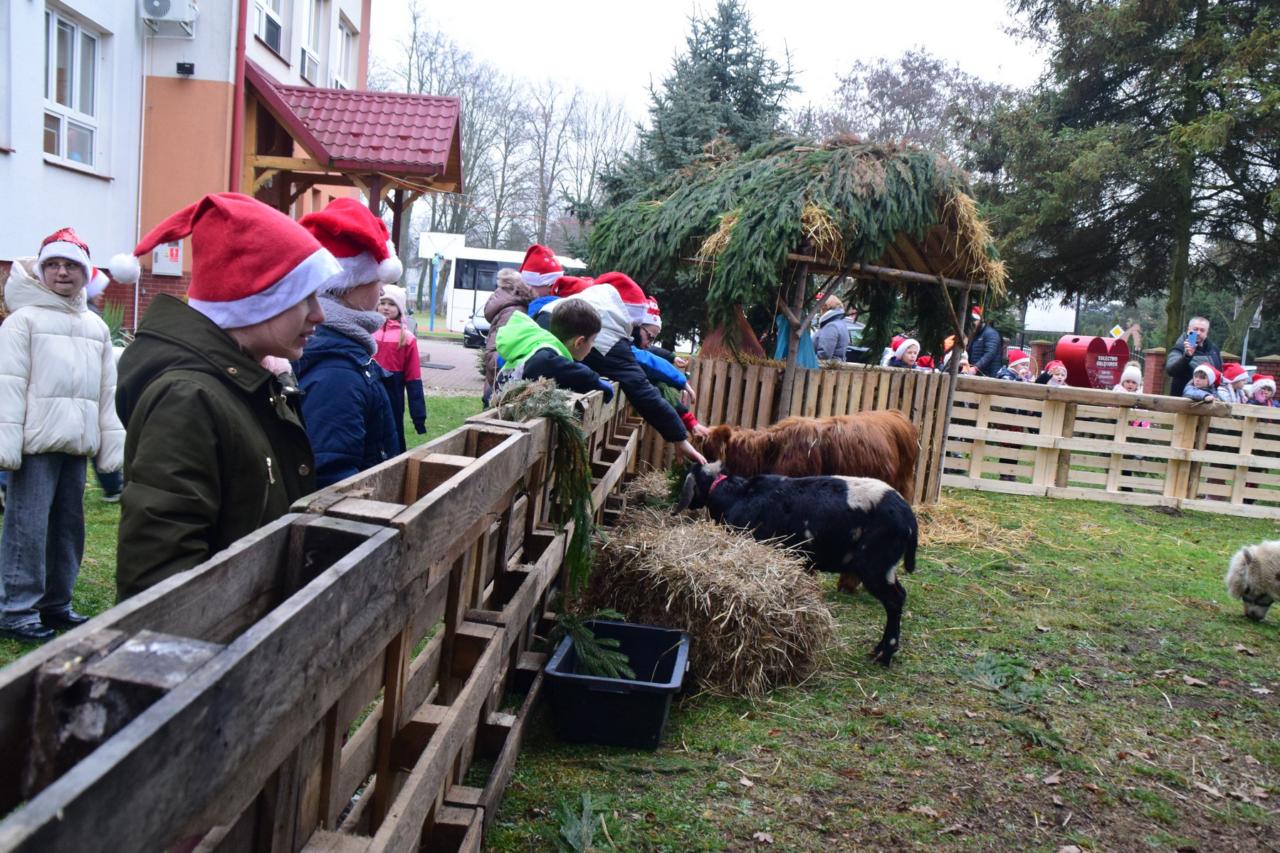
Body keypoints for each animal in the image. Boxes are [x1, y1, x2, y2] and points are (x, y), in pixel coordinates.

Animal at [674, 462, 918, 666]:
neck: (737, 497)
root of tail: (908, 517)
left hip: (875, 564)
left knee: (895, 600)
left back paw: (884, 655)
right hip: (886, 567)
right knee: (899, 595)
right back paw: (878, 650)